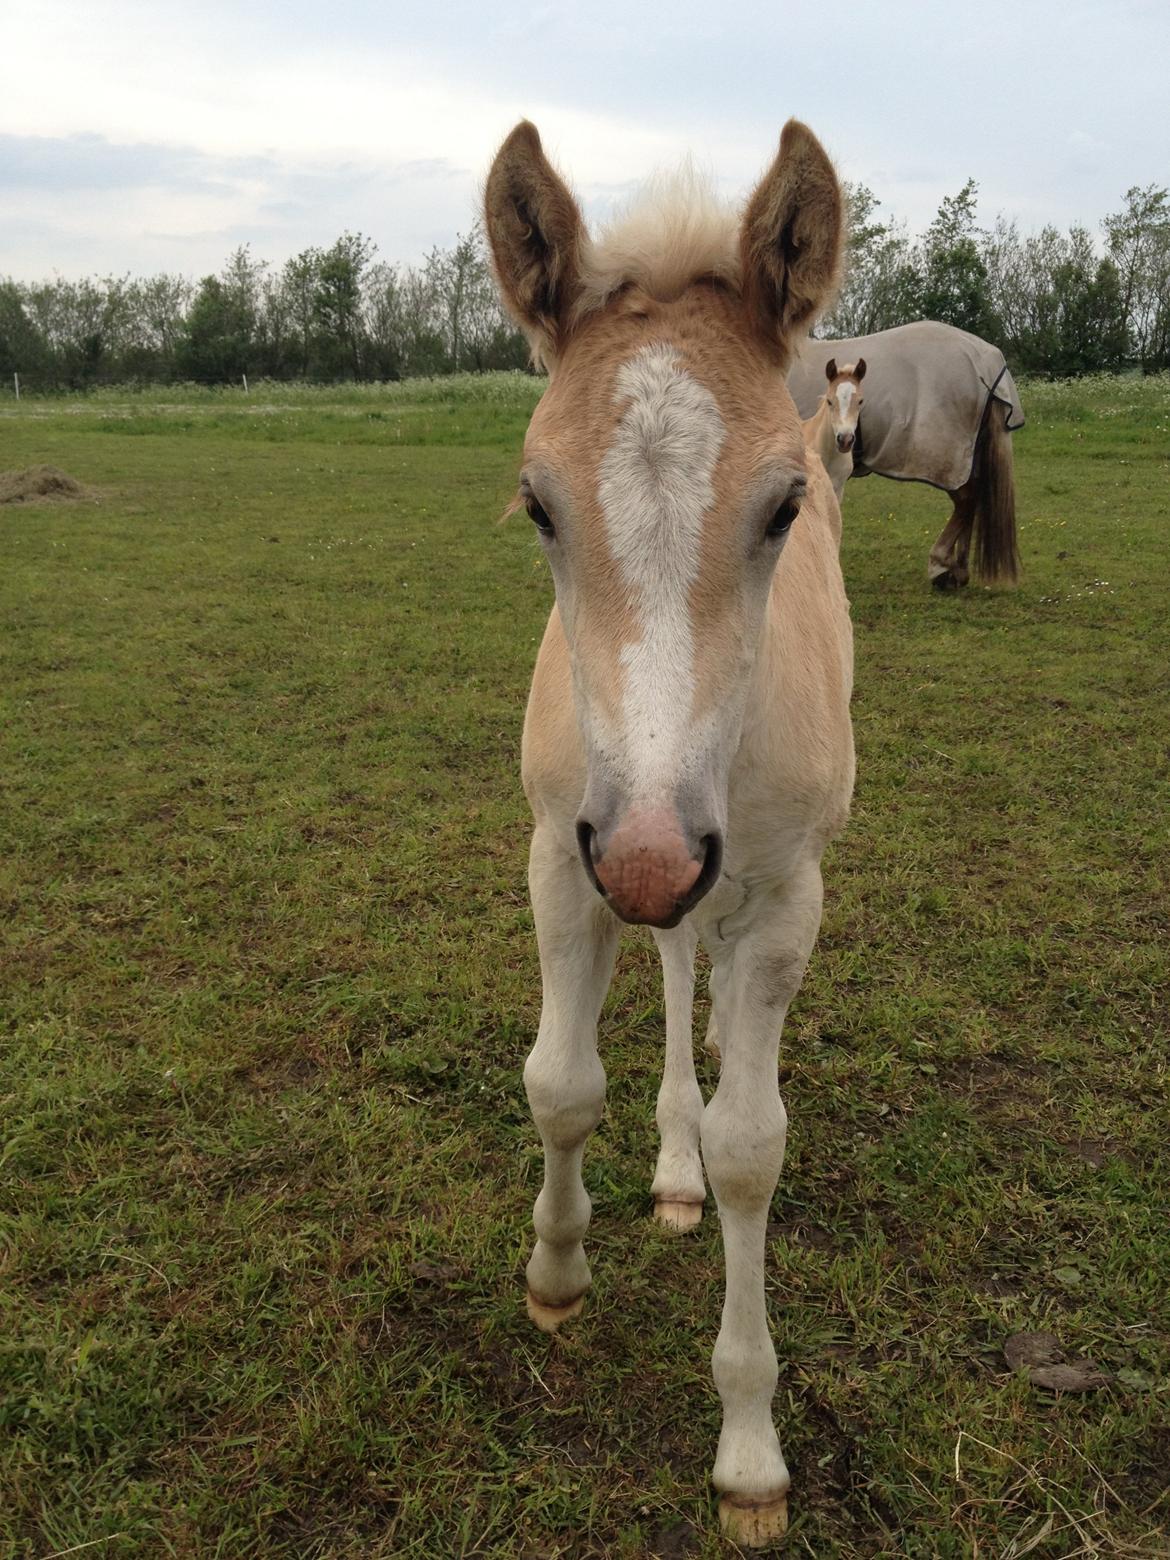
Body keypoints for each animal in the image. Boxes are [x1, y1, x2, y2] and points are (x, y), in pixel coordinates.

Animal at [480, 115, 854, 1541]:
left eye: (785, 506)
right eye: (538, 505)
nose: (647, 856)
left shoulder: (783, 894)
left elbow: (756, 1152)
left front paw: (749, 1450)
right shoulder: (561, 854)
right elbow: (559, 1082)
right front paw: (556, 1271)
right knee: (675, 959)